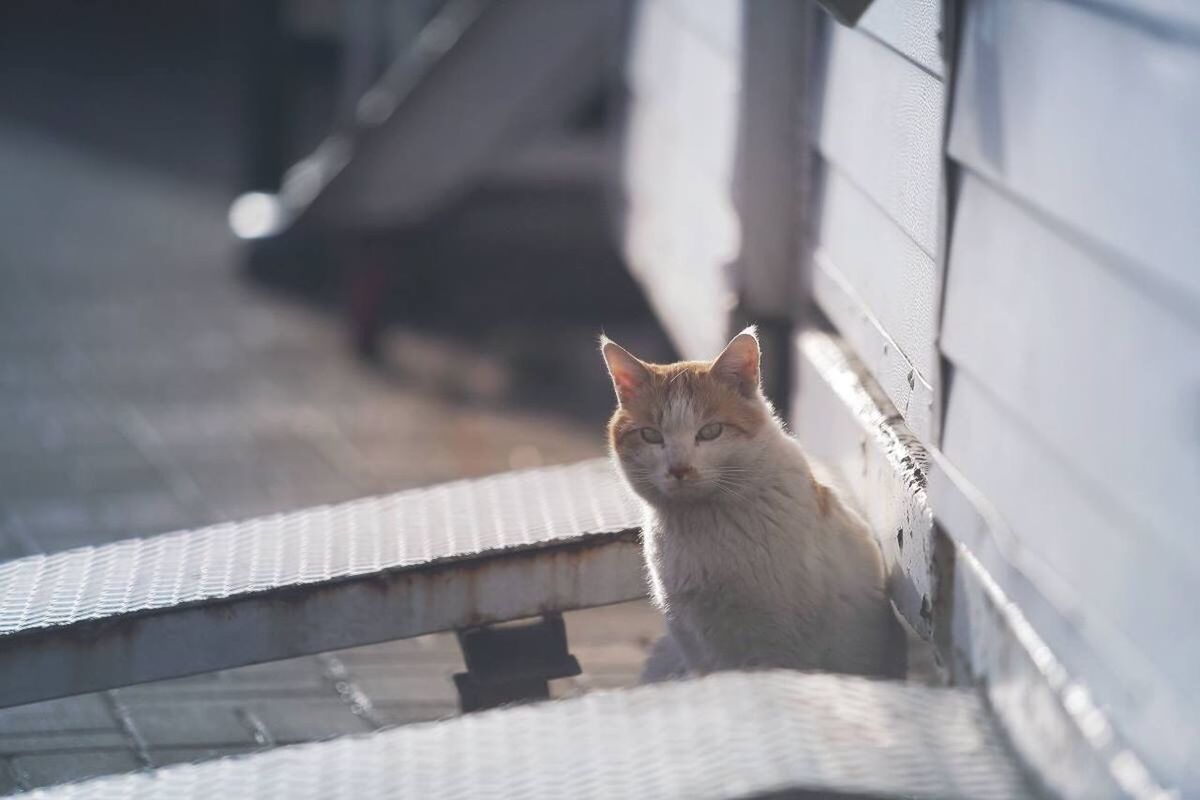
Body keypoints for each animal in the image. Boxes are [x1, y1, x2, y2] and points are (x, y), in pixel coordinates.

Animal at [604, 328, 902, 681]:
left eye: (711, 431)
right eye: (651, 436)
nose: (679, 469)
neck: (704, 524)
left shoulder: (778, 645)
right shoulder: (694, 641)